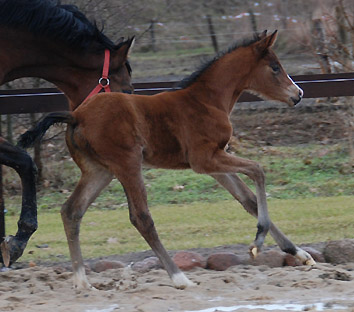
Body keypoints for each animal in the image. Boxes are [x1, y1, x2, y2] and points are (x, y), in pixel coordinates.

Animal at [18, 30, 316, 288]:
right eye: (275, 67)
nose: (298, 94)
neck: (207, 100)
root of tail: (76, 115)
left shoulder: (215, 163)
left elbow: (248, 199)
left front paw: (297, 253)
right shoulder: (204, 159)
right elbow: (258, 170)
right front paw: (258, 241)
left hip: (99, 170)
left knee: (72, 211)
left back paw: (81, 281)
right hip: (127, 164)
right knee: (141, 218)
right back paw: (179, 278)